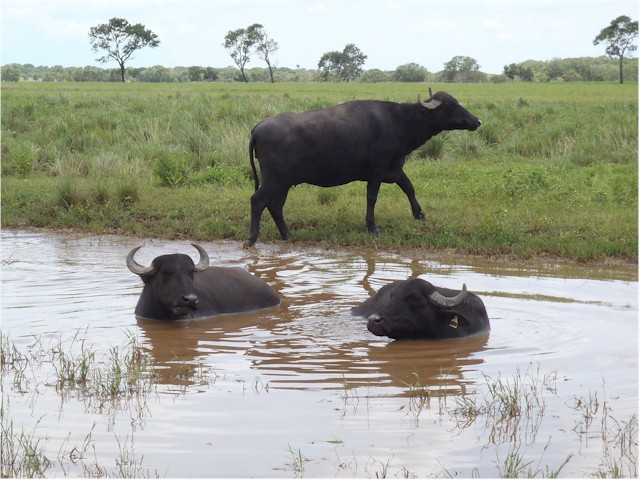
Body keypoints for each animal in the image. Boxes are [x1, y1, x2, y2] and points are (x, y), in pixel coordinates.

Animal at [244, 89, 481, 247]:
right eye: (450, 106)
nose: (477, 121)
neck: (398, 121)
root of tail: (258, 127)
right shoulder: (376, 171)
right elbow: (372, 198)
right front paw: (372, 226)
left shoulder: (395, 169)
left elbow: (409, 188)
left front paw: (419, 214)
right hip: (274, 179)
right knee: (258, 201)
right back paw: (251, 239)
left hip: (284, 182)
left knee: (275, 206)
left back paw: (287, 235)